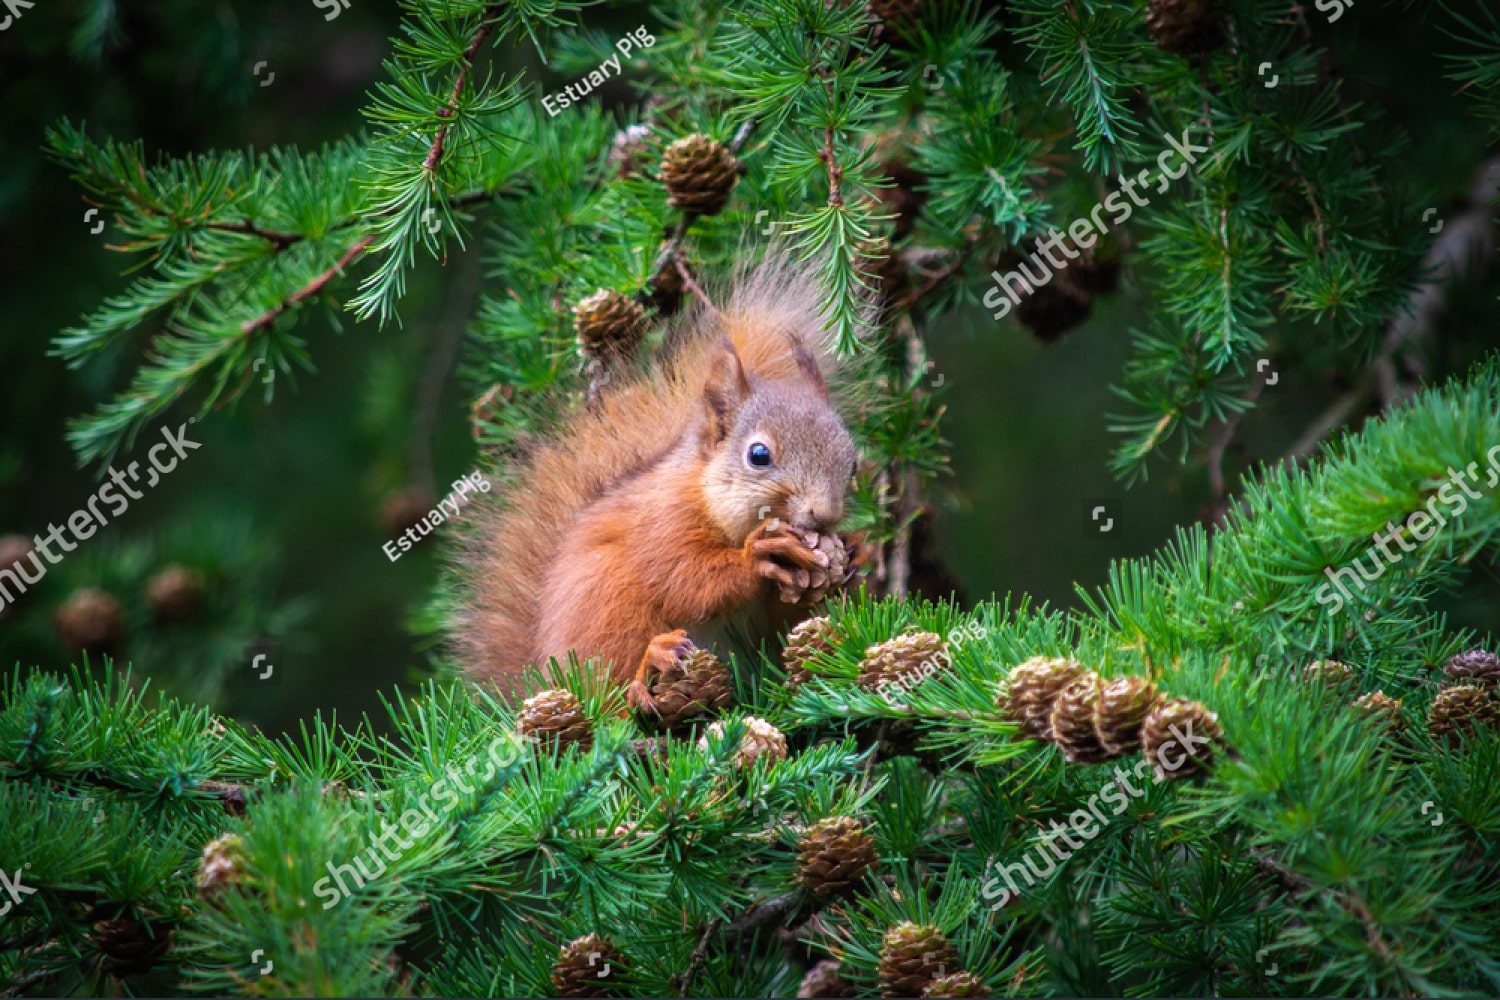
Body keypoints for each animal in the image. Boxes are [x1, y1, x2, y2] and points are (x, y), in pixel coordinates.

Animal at [457, 260, 863, 714]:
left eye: (853, 463)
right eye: (759, 455)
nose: (825, 515)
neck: (707, 495)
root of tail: (547, 675)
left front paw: (847, 557)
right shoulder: (663, 523)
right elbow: (684, 580)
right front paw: (759, 556)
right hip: (606, 607)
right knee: (613, 685)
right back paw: (650, 664)